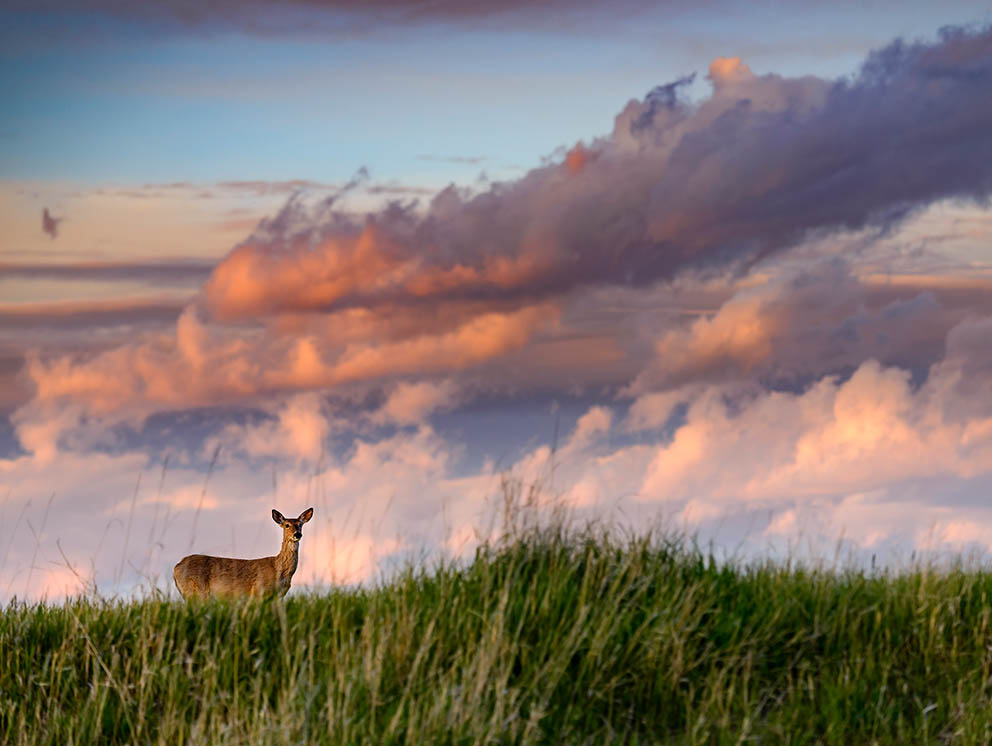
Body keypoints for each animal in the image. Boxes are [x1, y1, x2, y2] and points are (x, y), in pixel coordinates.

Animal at [172, 506, 314, 600]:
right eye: (286, 525)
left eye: (300, 524)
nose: (297, 534)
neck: (279, 569)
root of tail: (176, 567)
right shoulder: (258, 591)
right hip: (195, 592)